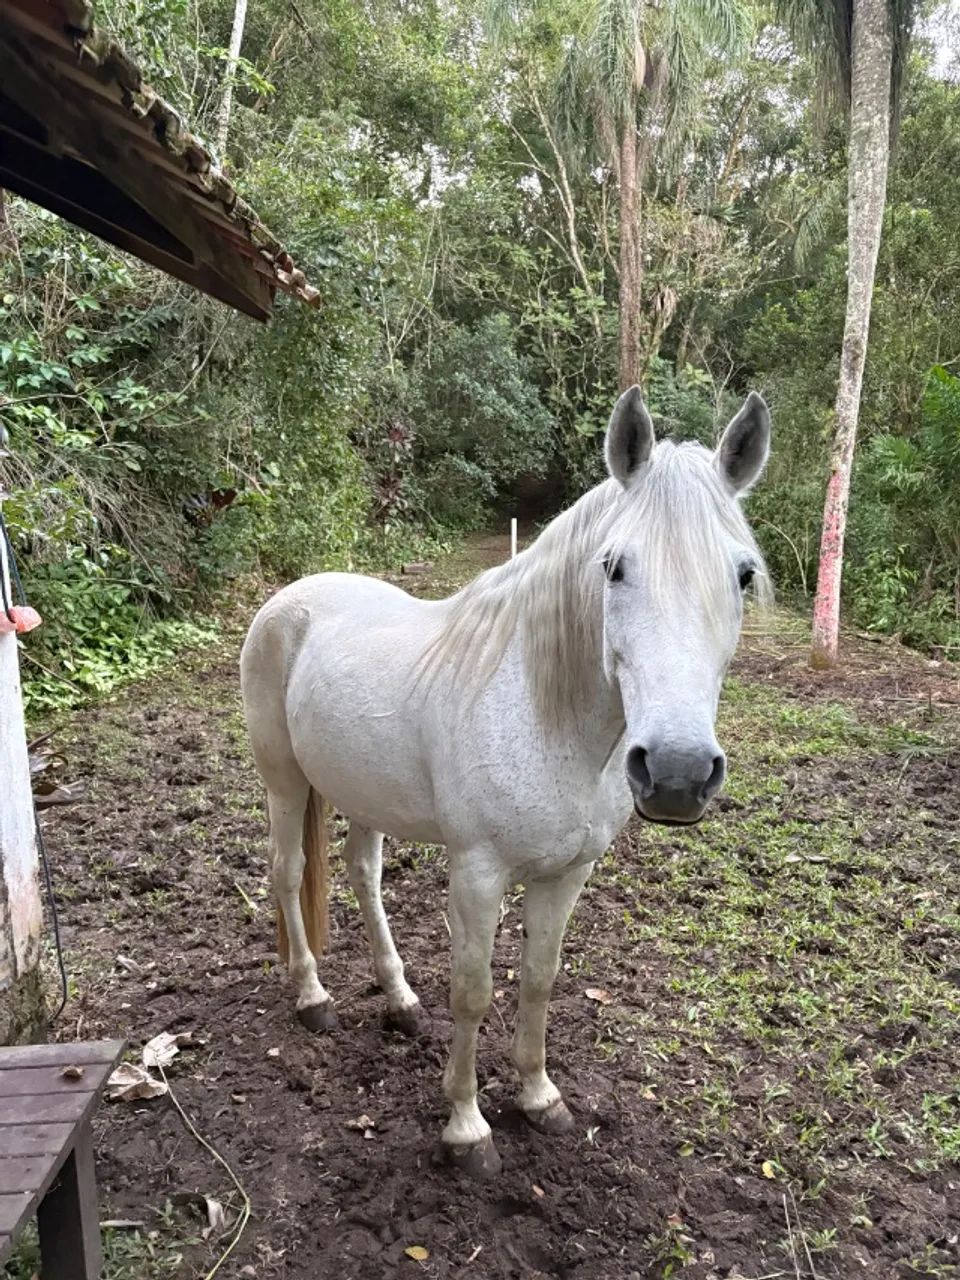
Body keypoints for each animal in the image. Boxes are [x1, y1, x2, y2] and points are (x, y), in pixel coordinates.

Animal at [240, 385, 771, 1178]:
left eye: (742, 574)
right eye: (614, 567)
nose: (677, 773)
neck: (546, 718)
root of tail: (291, 597)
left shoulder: (567, 875)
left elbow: (539, 980)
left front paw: (539, 1097)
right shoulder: (478, 873)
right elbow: (474, 992)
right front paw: (466, 1128)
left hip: (361, 792)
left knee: (363, 875)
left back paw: (399, 999)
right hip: (285, 782)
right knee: (287, 870)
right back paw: (312, 998)